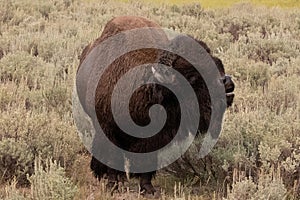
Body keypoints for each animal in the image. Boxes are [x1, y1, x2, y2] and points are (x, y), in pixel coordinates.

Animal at [75, 16, 234, 195]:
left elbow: (147, 162)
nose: (227, 86)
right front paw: (112, 186)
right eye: (192, 78)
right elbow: (111, 157)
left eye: (217, 65)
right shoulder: (108, 130)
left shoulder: (154, 138)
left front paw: (148, 189)